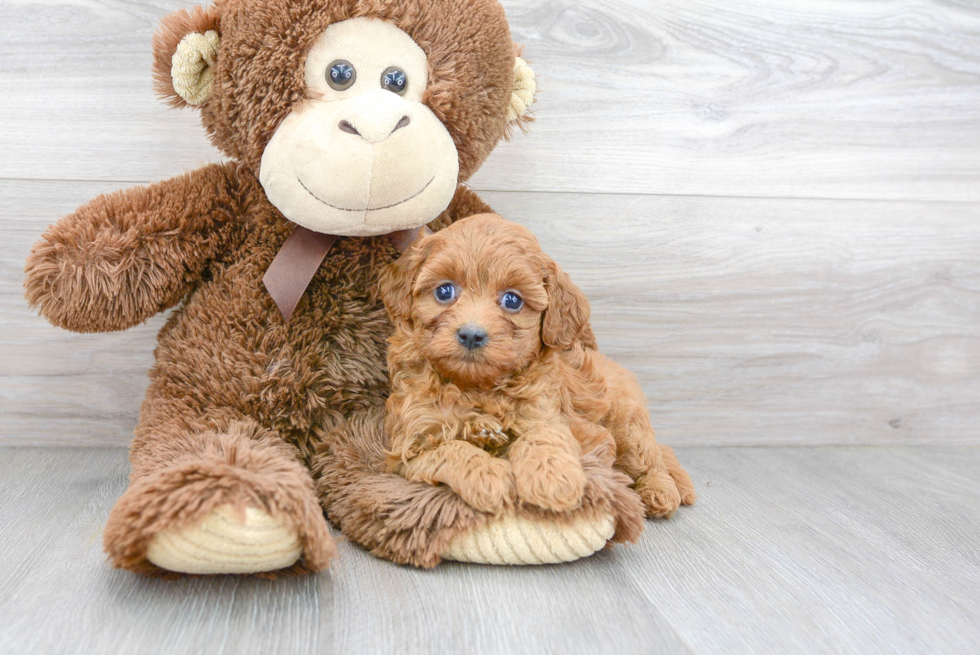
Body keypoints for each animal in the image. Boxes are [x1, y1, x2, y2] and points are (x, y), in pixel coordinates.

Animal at [378, 215, 692, 516]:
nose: (471, 334)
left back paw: (661, 492)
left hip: (628, 423)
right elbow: (452, 449)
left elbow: (543, 438)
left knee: (653, 458)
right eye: (444, 292)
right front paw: (489, 476)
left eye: (512, 300)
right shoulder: (410, 445)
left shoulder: (545, 413)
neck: (477, 387)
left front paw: (553, 479)